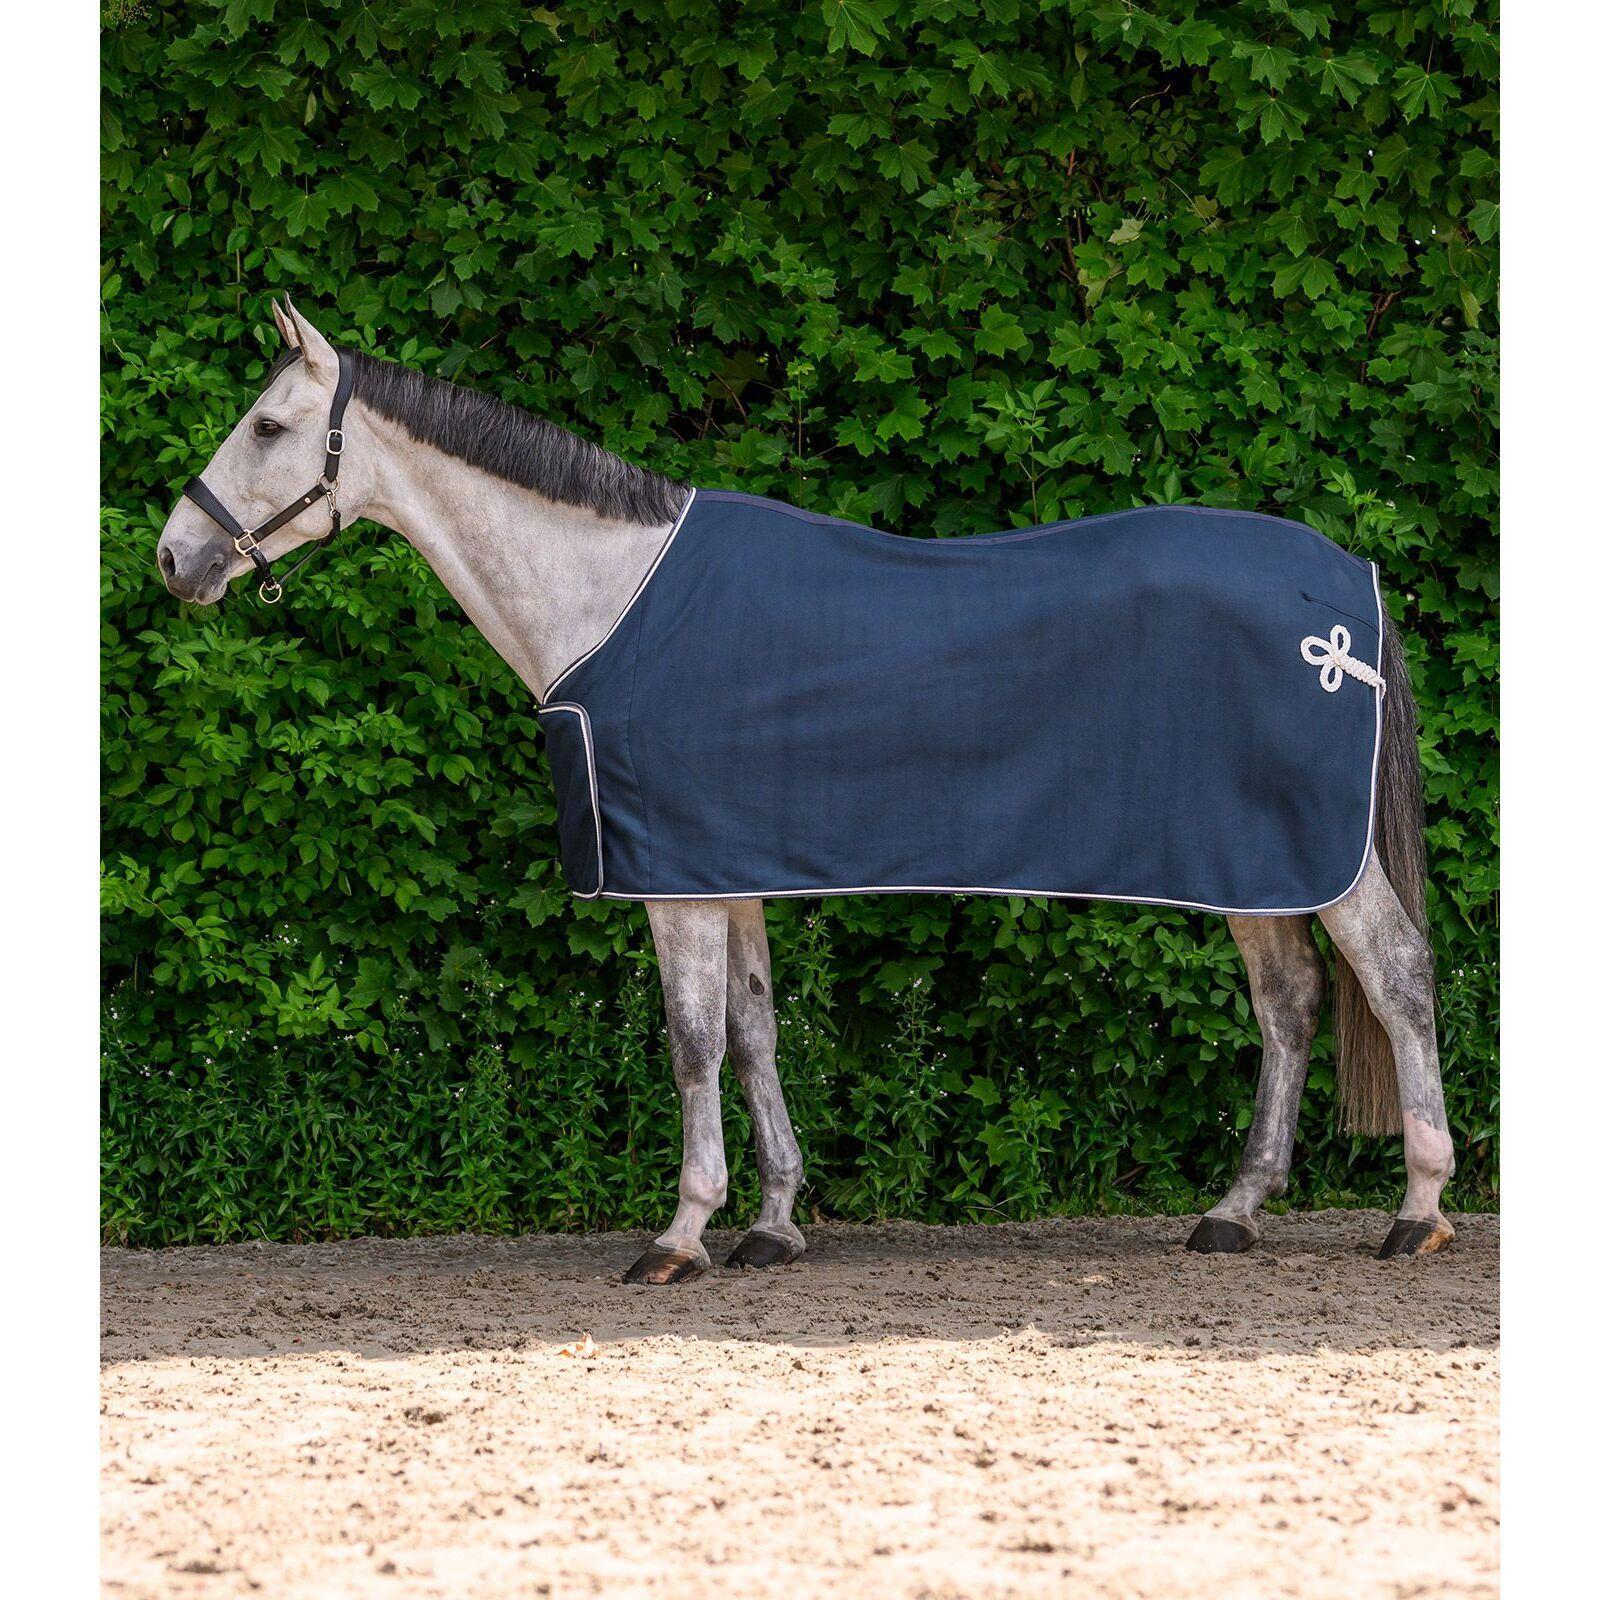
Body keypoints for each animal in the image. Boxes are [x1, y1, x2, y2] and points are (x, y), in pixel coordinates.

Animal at [154, 299, 1455, 1283]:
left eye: (268, 423)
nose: (176, 557)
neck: (608, 593)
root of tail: (1346, 588)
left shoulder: (673, 878)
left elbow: (690, 1044)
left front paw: (680, 1234)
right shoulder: (721, 865)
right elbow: (755, 1032)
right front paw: (772, 1224)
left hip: (1311, 857)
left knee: (1393, 977)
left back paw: (1417, 1210)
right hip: (1255, 862)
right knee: (1289, 1004)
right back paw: (1234, 1210)